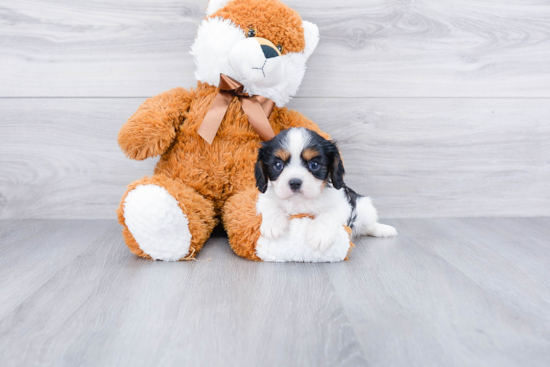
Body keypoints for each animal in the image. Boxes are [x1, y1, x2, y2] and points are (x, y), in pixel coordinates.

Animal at [256, 127, 398, 253]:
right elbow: (270, 204)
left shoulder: (343, 203)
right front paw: (273, 224)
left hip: (365, 207)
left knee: (367, 226)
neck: (300, 201)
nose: (295, 182)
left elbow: (329, 213)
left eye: (314, 165)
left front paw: (320, 234)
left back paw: (383, 230)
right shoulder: (264, 197)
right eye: (278, 165)